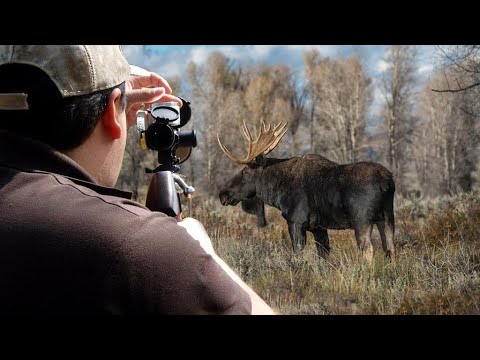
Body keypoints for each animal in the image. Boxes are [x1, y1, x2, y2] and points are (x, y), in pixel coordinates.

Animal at [218, 121, 394, 262]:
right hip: (387, 217)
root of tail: (387, 182)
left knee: (368, 250)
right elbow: (323, 256)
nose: (223, 194)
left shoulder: (296, 221)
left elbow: (297, 253)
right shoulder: (319, 228)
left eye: (246, 171)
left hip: (362, 220)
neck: (277, 192)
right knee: (389, 248)